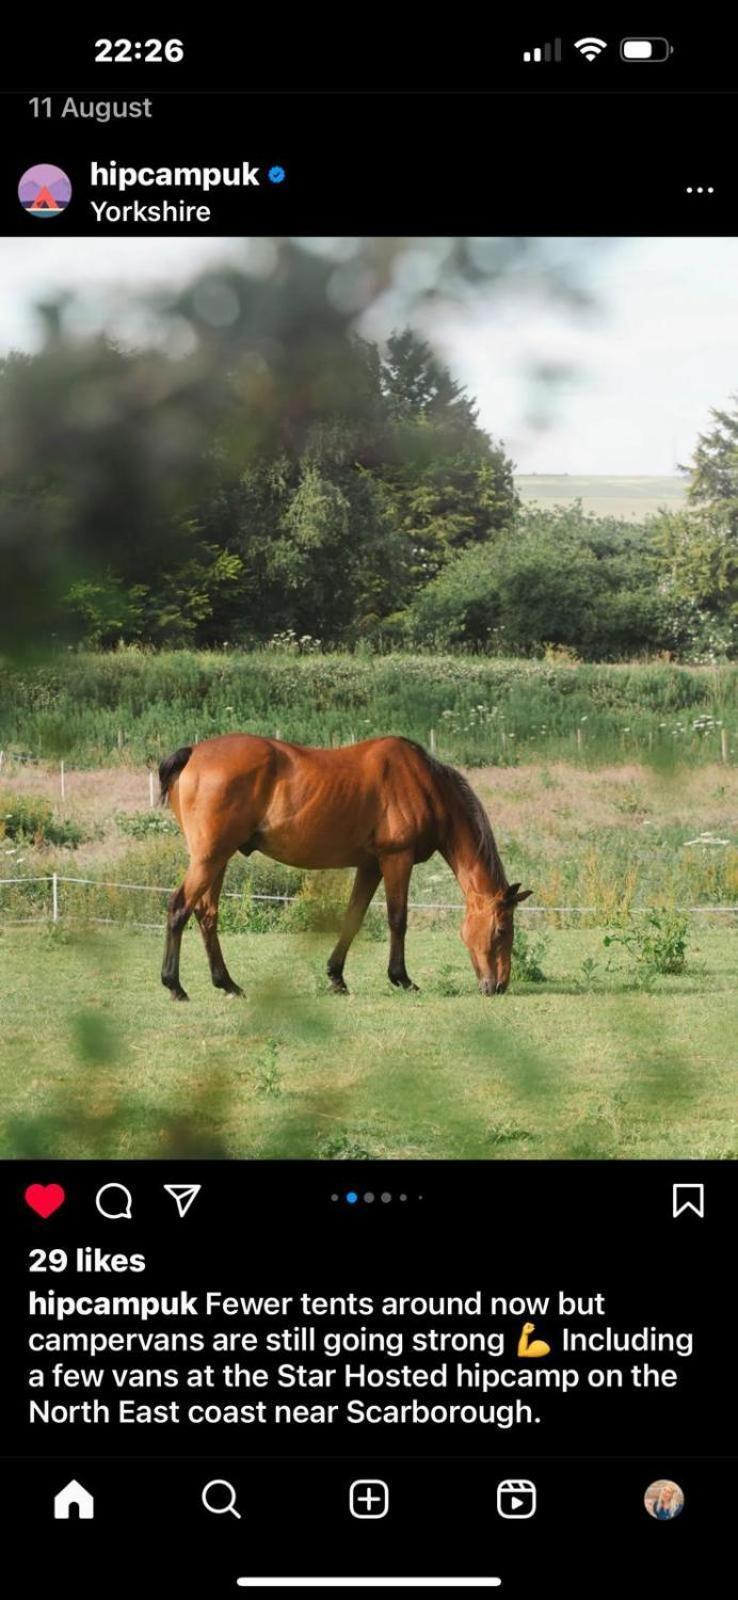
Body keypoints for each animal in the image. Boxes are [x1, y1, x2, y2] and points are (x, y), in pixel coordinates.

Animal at [159, 729, 528, 992]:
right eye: (501, 930)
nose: (498, 986)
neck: (425, 784)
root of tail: (193, 753)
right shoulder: (397, 859)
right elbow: (398, 919)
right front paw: (401, 978)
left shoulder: (370, 866)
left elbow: (353, 917)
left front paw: (336, 976)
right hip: (209, 858)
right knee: (179, 907)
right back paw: (174, 984)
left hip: (217, 859)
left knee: (206, 914)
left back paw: (226, 983)